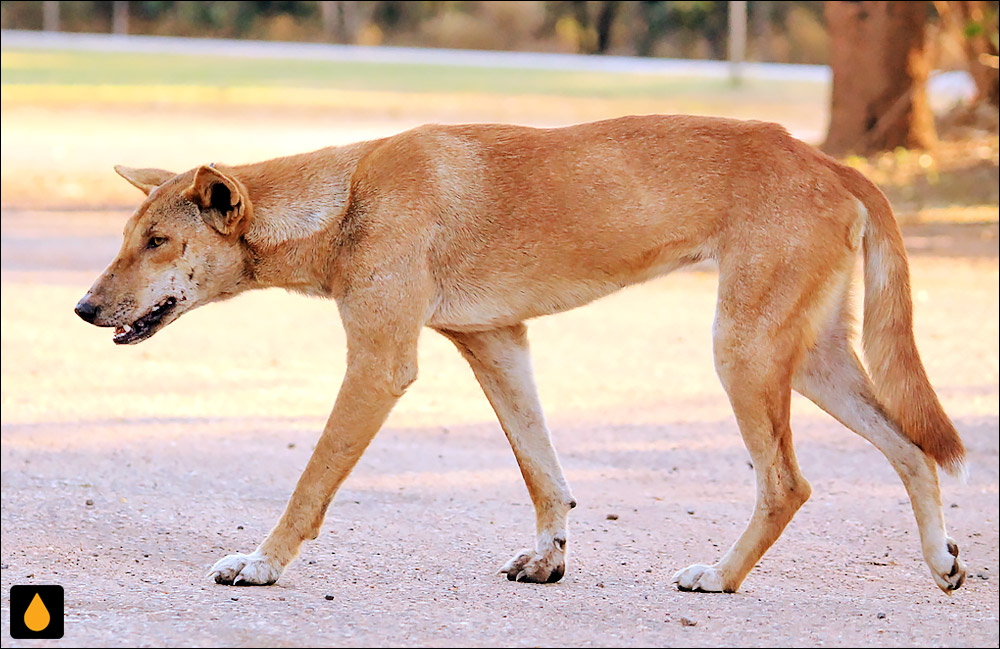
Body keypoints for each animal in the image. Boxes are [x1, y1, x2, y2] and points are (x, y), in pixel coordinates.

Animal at [74, 115, 964, 592]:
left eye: (157, 242)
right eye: (126, 237)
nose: (83, 308)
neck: (348, 196)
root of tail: (829, 160)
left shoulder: (380, 364)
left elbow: (310, 483)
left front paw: (263, 563)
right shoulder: (496, 346)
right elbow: (545, 474)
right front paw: (548, 558)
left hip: (744, 351)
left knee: (788, 483)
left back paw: (720, 576)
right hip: (808, 359)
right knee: (913, 450)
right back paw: (942, 559)